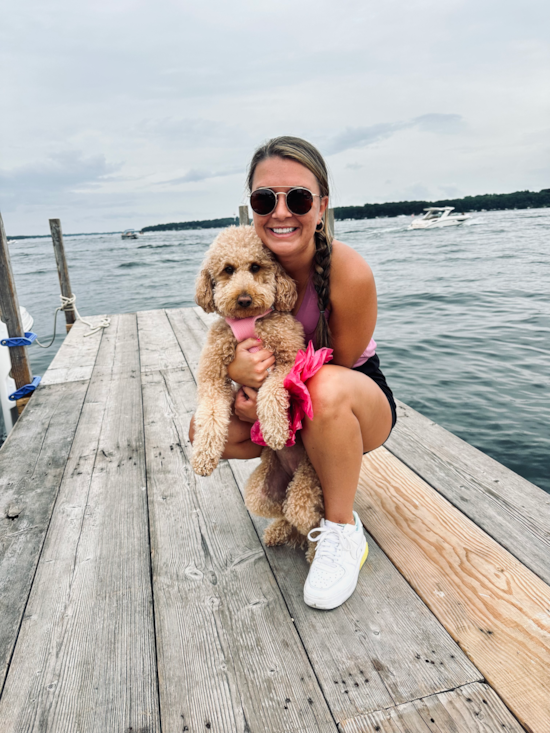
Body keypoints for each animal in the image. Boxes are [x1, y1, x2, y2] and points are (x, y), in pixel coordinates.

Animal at [193, 226, 324, 556]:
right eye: (228, 269)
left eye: (255, 267)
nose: (243, 298)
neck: (250, 323)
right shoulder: (212, 375)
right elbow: (209, 414)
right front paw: (202, 457)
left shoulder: (289, 361)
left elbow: (271, 392)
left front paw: (276, 430)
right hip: (258, 493)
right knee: (287, 516)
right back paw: (278, 532)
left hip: (306, 490)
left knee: (313, 519)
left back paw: (315, 552)